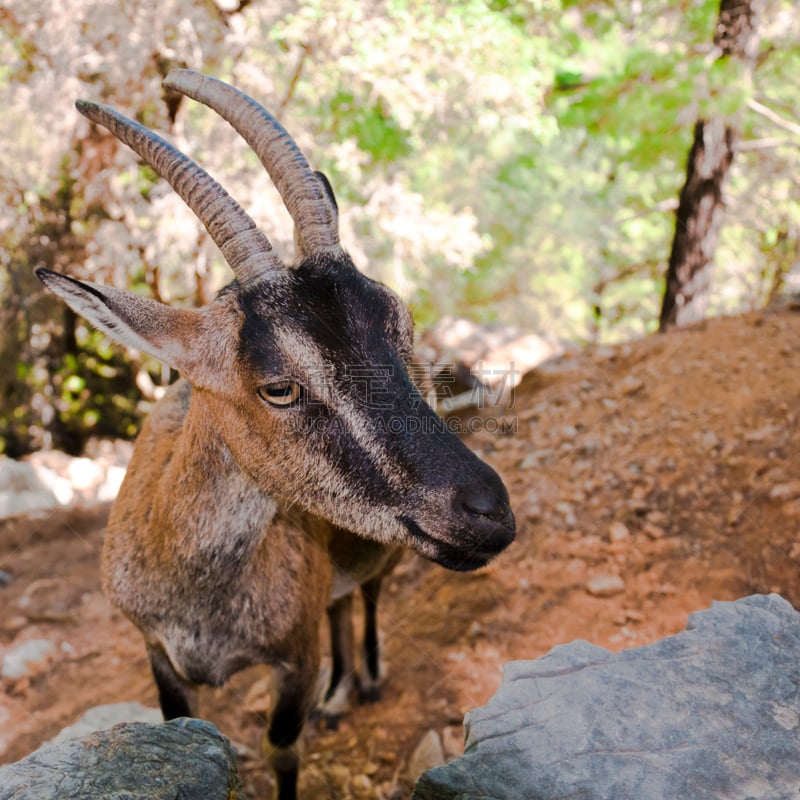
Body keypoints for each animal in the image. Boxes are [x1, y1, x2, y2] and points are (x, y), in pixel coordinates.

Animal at [37, 70, 516, 800]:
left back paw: (362, 681)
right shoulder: (159, 656)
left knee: (366, 594)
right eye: (278, 387)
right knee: (341, 604)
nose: (488, 510)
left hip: (386, 557)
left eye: (399, 323)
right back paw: (341, 694)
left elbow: (283, 747)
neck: (198, 585)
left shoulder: (293, 658)